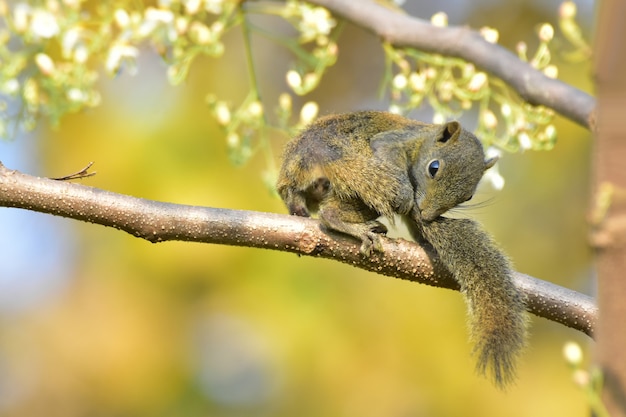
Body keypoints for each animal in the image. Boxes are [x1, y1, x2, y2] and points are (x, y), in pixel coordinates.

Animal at [278, 109, 528, 386]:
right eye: (433, 168)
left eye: (468, 196)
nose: (428, 215)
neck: (422, 138)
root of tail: (308, 153)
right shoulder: (394, 143)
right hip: (367, 183)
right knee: (331, 212)